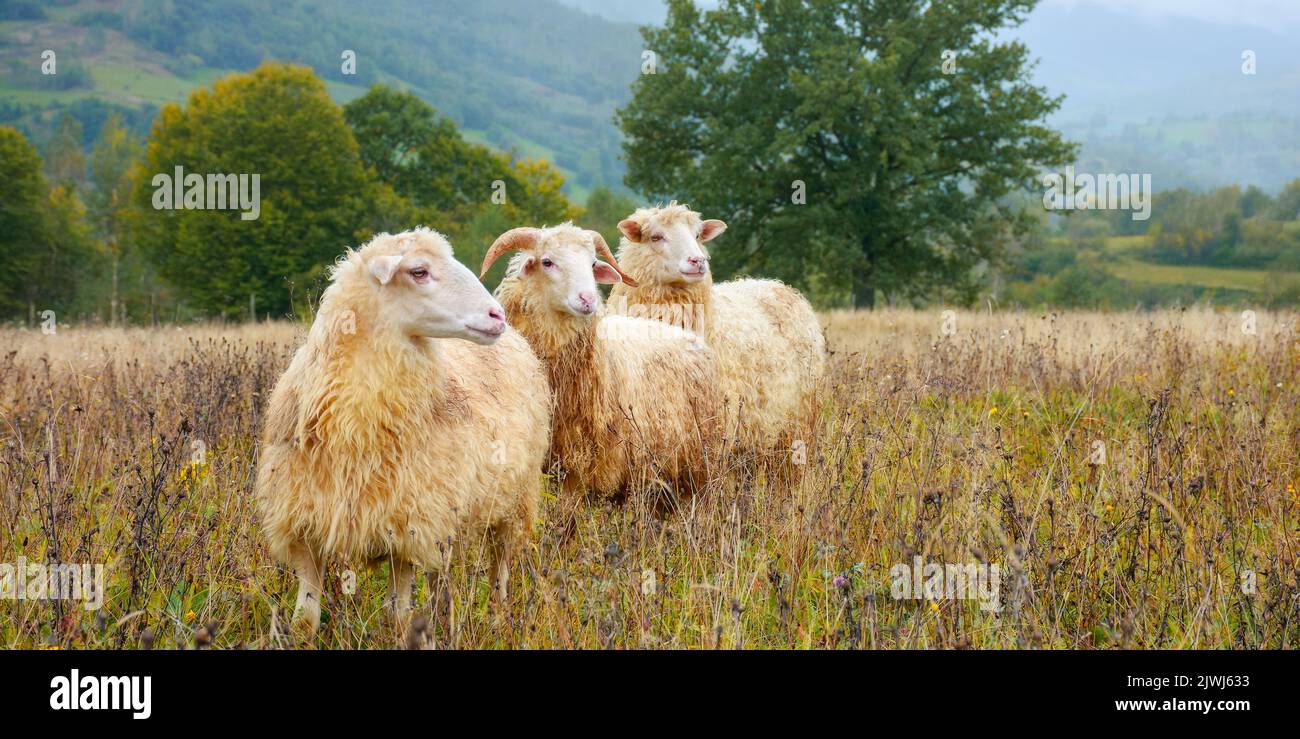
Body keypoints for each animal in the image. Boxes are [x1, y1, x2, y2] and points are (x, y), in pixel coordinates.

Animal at [255, 227, 550, 631]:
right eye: (419, 272)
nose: (496, 315)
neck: (353, 430)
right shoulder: (304, 527)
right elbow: (306, 618)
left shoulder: (409, 529)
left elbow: (397, 616)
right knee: (441, 577)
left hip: (513, 502)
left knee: (500, 569)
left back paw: (496, 619)